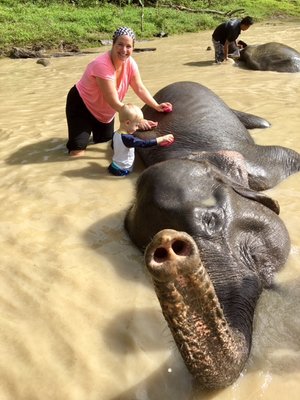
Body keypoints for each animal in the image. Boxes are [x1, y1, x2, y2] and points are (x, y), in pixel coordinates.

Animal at [125, 80, 300, 388]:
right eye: (144, 245)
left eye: (211, 220)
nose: (167, 245)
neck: (197, 158)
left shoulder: (264, 163)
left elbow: (291, 156)